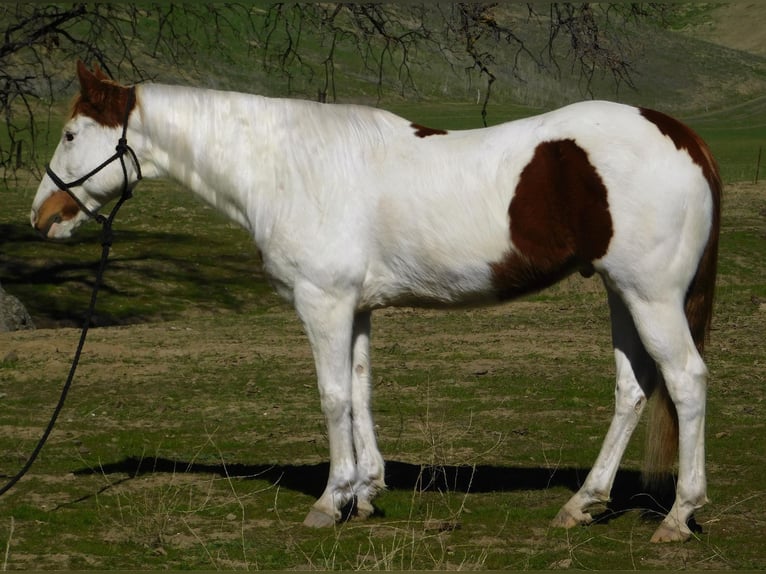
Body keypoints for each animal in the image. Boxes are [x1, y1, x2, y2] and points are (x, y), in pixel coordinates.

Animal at [33, 64, 724, 544]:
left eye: (70, 133)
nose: (42, 215)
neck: (289, 167)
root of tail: (680, 134)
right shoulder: (357, 308)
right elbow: (361, 392)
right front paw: (365, 494)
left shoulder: (324, 303)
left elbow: (333, 396)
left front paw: (329, 500)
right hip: (620, 293)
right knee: (633, 388)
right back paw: (583, 503)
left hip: (651, 296)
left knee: (685, 381)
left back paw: (678, 516)